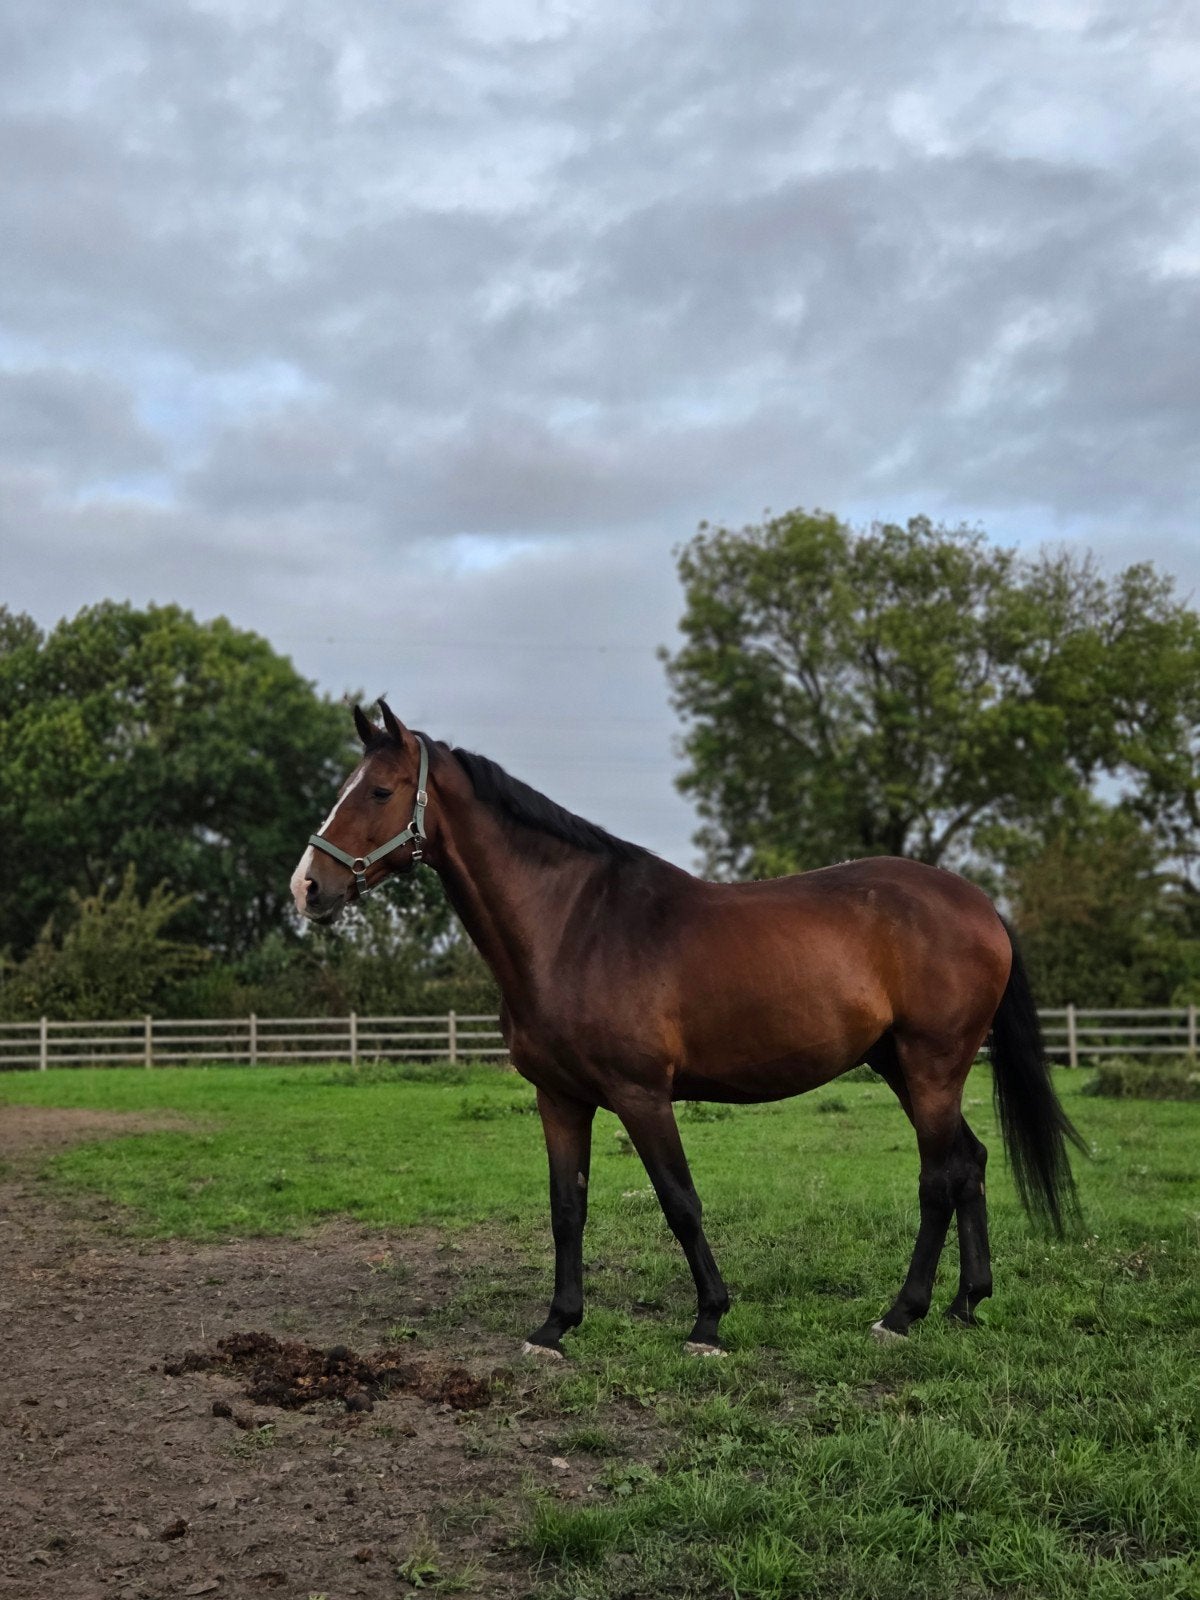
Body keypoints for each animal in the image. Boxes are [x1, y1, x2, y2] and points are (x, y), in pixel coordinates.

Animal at [291, 700, 1082, 1358]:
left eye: (380, 790)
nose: (307, 888)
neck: (573, 927)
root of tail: (978, 903)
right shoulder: (560, 1098)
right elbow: (567, 1208)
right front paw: (556, 1327)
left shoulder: (642, 1096)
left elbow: (680, 1203)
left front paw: (708, 1322)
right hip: (901, 1066)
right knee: (970, 1164)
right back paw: (965, 1304)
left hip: (932, 1064)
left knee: (940, 1178)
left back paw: (901, 1314)